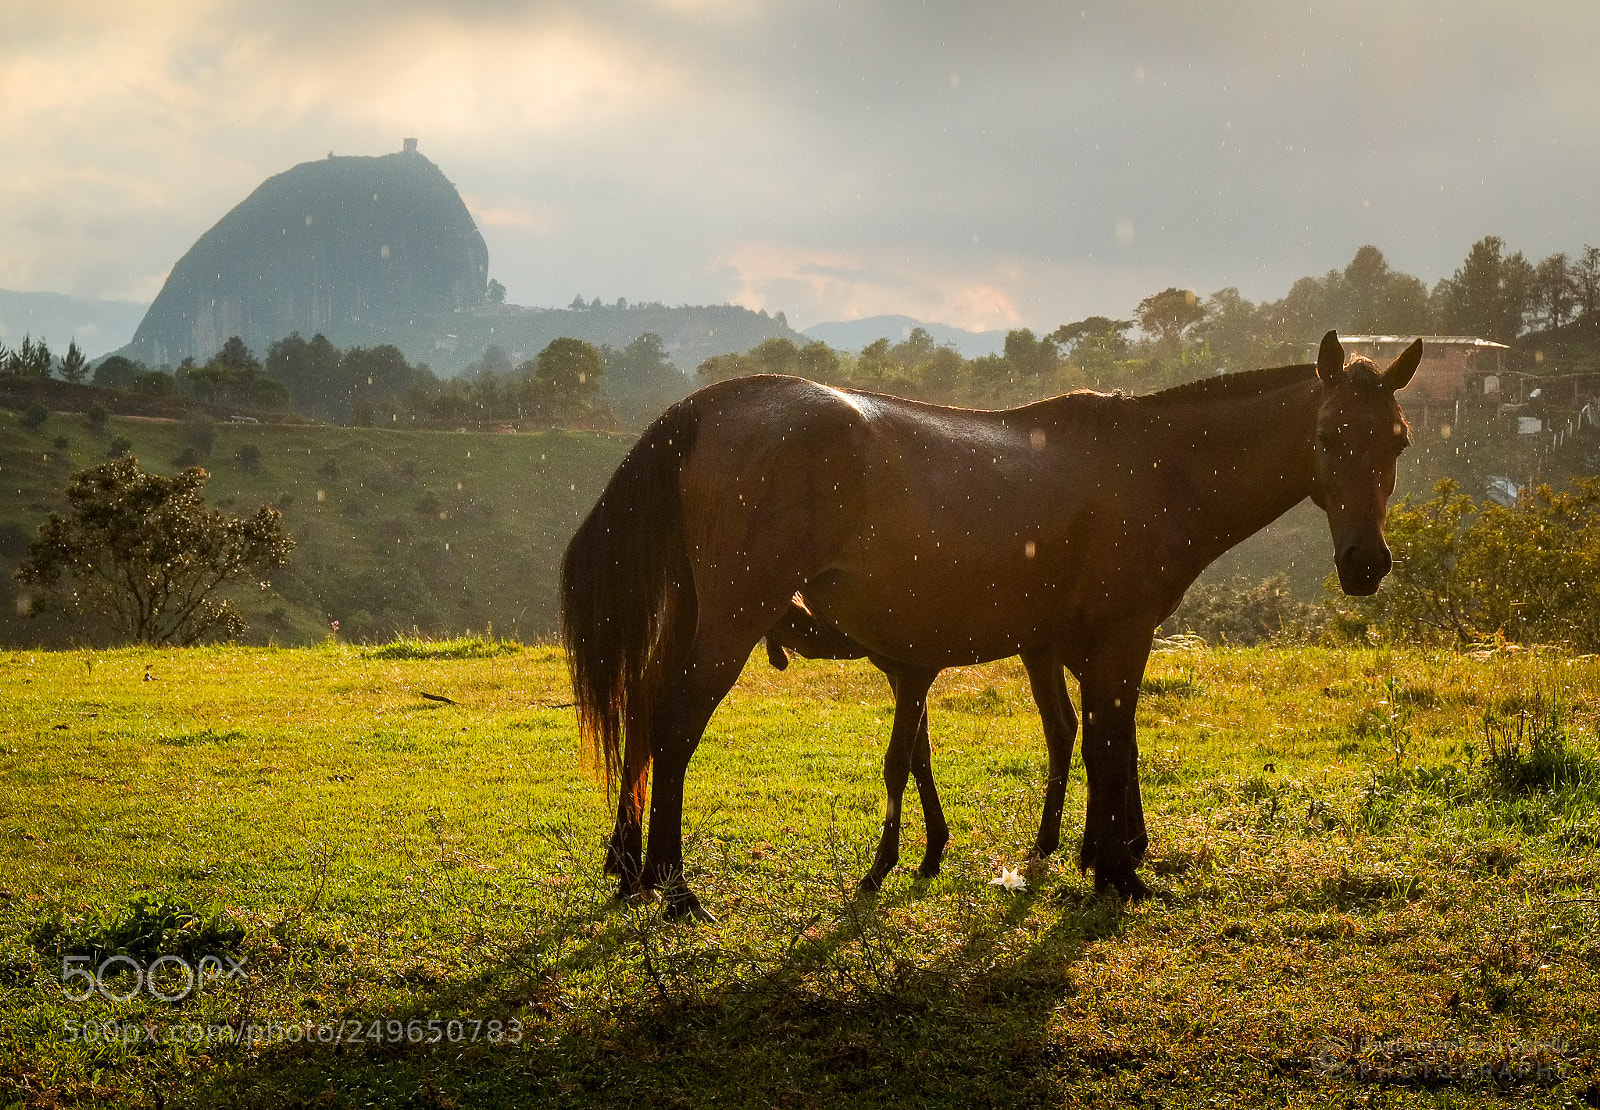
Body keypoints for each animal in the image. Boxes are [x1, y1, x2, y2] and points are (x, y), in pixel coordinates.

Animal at [561, 330, 1420, 919]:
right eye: (1330, 436)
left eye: (1398, 441)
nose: (1366, 563)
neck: (1157, 465)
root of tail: (707, 407)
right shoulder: (1119, 634)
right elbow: (1110, 744)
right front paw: (1116, 869)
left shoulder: (1079, 644)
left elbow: (1105, 741)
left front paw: (1104, 856)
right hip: (731, 625)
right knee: (675, 727)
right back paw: (675, 886)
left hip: (692, 617)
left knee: (644, 715)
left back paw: (629, 866)